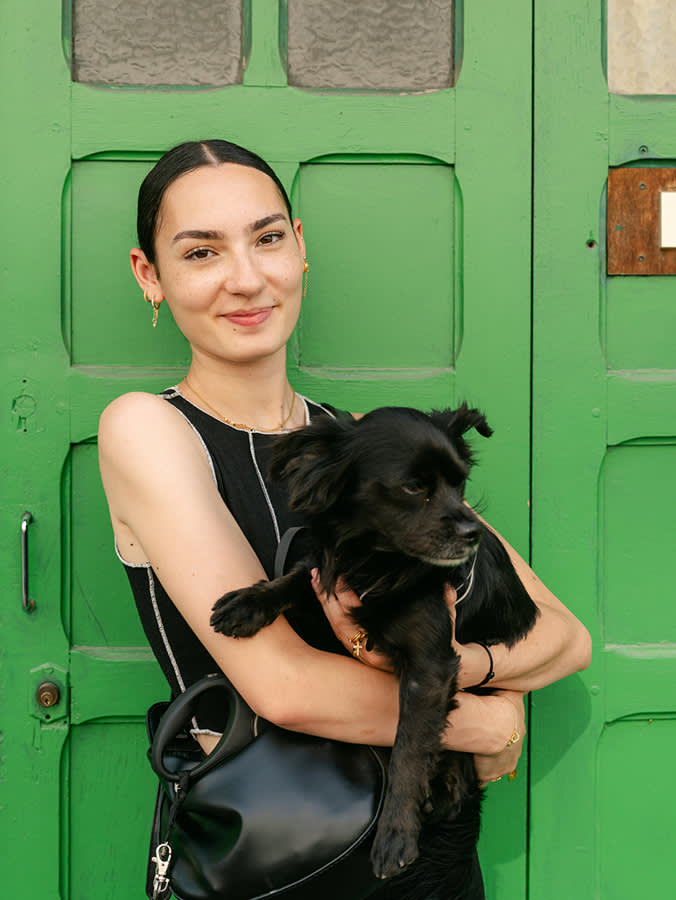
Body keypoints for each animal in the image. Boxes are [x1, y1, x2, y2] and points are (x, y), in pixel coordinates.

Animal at [211, 406, 540, 892]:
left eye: (459, 483)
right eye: (414, 487)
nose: (473, 532)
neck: (379, 562)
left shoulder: (431, 668)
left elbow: (408, 749)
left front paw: (395, 834)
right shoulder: (327, 576)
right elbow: (298, 575)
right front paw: (247, 603)